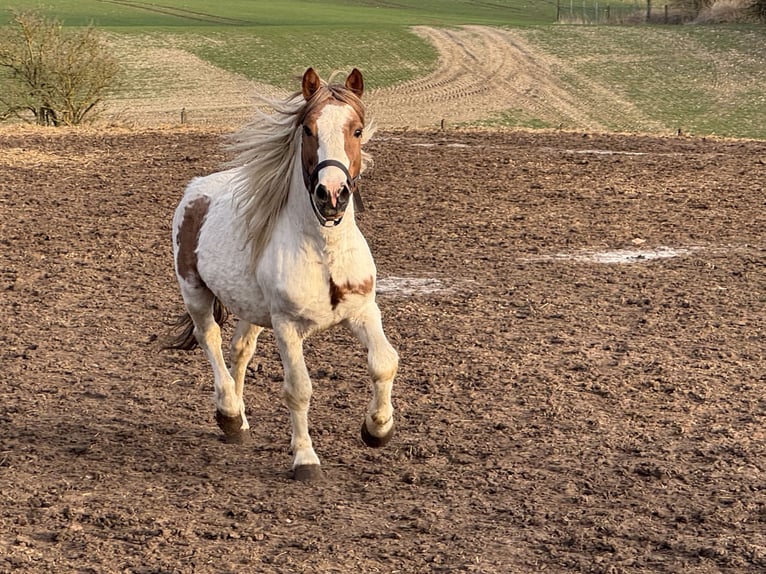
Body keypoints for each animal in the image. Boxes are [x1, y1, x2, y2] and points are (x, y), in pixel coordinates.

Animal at [166, 68, 399, 481]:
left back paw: (241, 421)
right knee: (210, 339)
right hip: (194, 292)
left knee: (240, 349)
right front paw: (305, 459)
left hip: (252, 310)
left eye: (356, 130)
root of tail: (196, 190)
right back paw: (228, 414)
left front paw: (377, 429)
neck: (325, 252)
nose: (332, 194)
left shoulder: (363, 311)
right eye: (308, 129)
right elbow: (298, 388)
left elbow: (384, 362)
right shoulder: (287, 326)